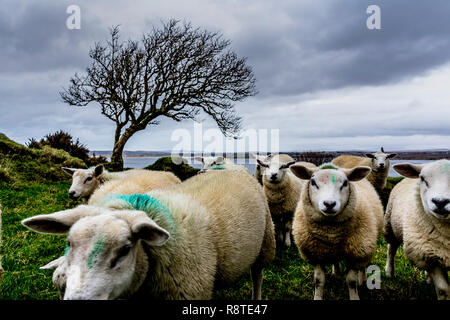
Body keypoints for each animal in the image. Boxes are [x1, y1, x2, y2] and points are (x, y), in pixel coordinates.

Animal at [288, 162, 384, 300]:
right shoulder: (316, 254)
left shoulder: (356, 254)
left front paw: (354, 296)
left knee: (363, 266)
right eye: (313, 182)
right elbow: (319, 280)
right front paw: (317, 297)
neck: (331, 234)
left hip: (366, 245)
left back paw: (363, 280)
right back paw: (336, 273)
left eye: (345, 183)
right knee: (336, 260)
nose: (329, 204)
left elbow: (351, 281)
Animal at [384, 160, 450, 300]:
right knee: (391, 248)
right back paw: (389, 272)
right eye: (422, 178)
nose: (440, 202)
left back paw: (428, 279)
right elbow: (443, 290)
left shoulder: (430, 253)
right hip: (391, 226)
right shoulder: (432, 259)